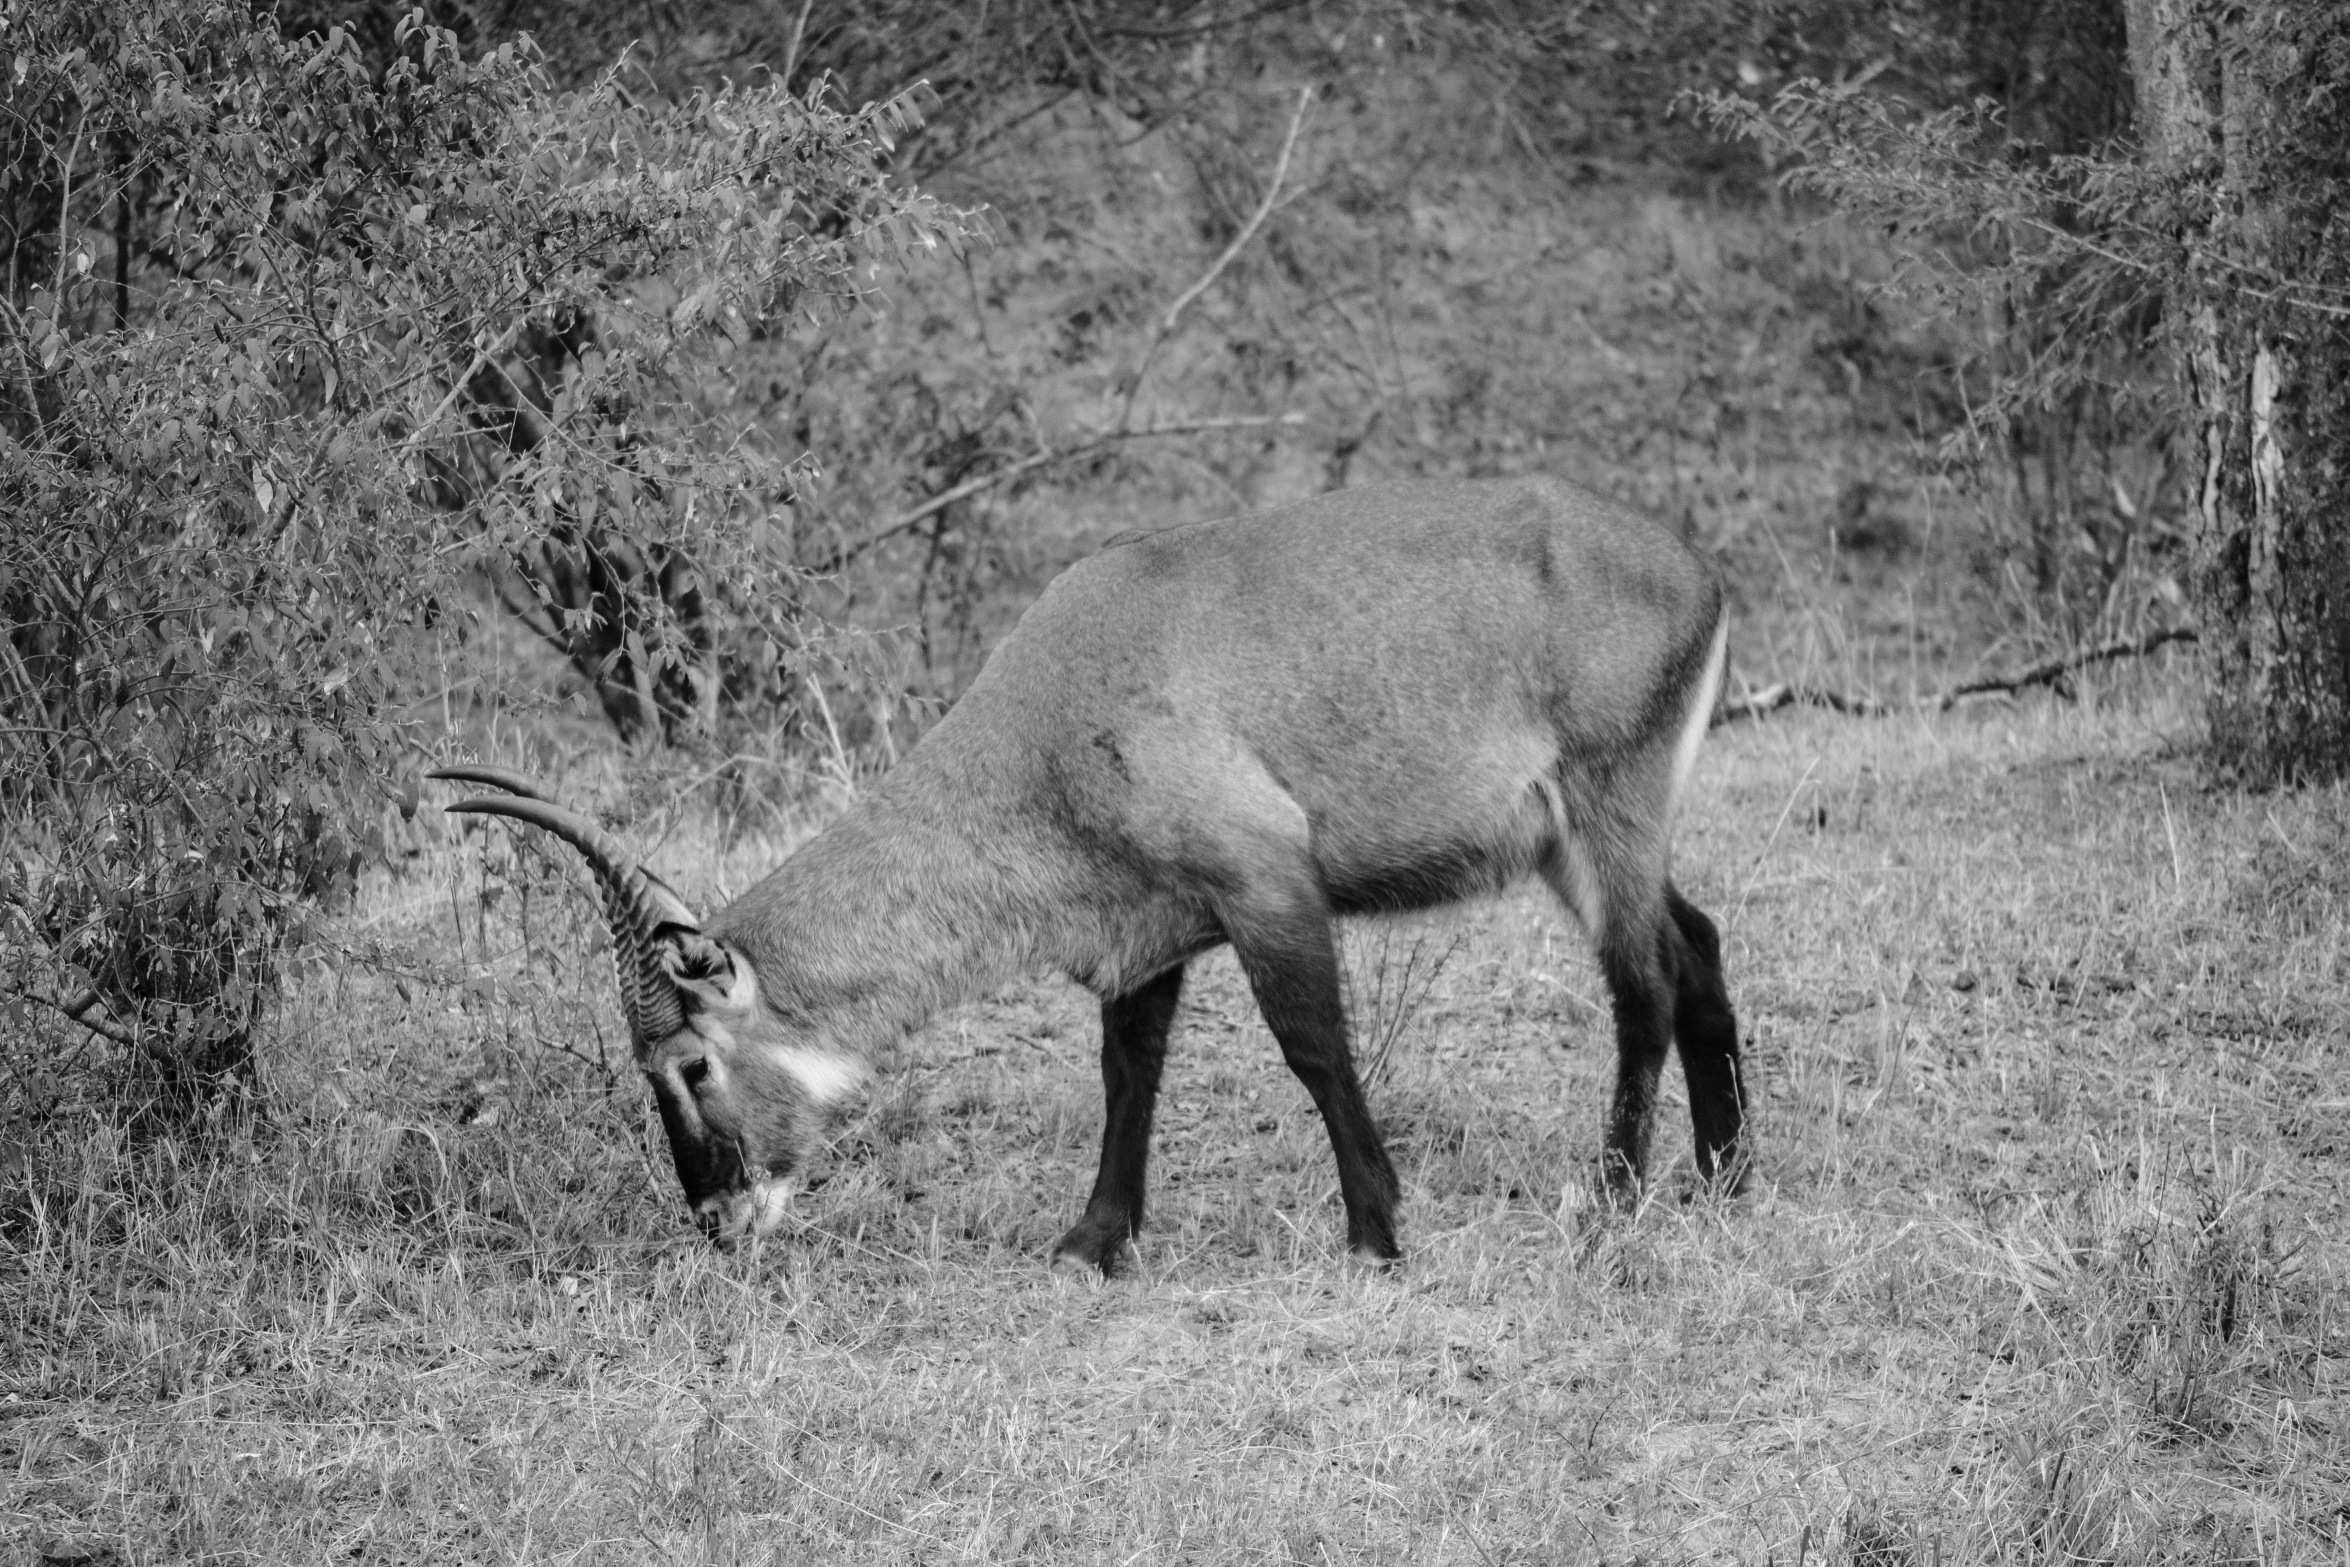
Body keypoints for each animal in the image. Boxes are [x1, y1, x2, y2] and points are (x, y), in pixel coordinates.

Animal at [437, 472, 1748, 1268]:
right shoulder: (1146, 933)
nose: (715, 1218)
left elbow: (1313, 1050)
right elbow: (1128, 1073)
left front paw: (1375, 1231)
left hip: (1605, 812)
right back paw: (1724, 1173)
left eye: (689, 1063)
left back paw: (1615, 1191)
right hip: (1579, 845)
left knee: (1641, 978)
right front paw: (1093, 1241)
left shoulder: (1266, 881)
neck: (1050, 701)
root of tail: (1695, 568)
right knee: (1695, 944)